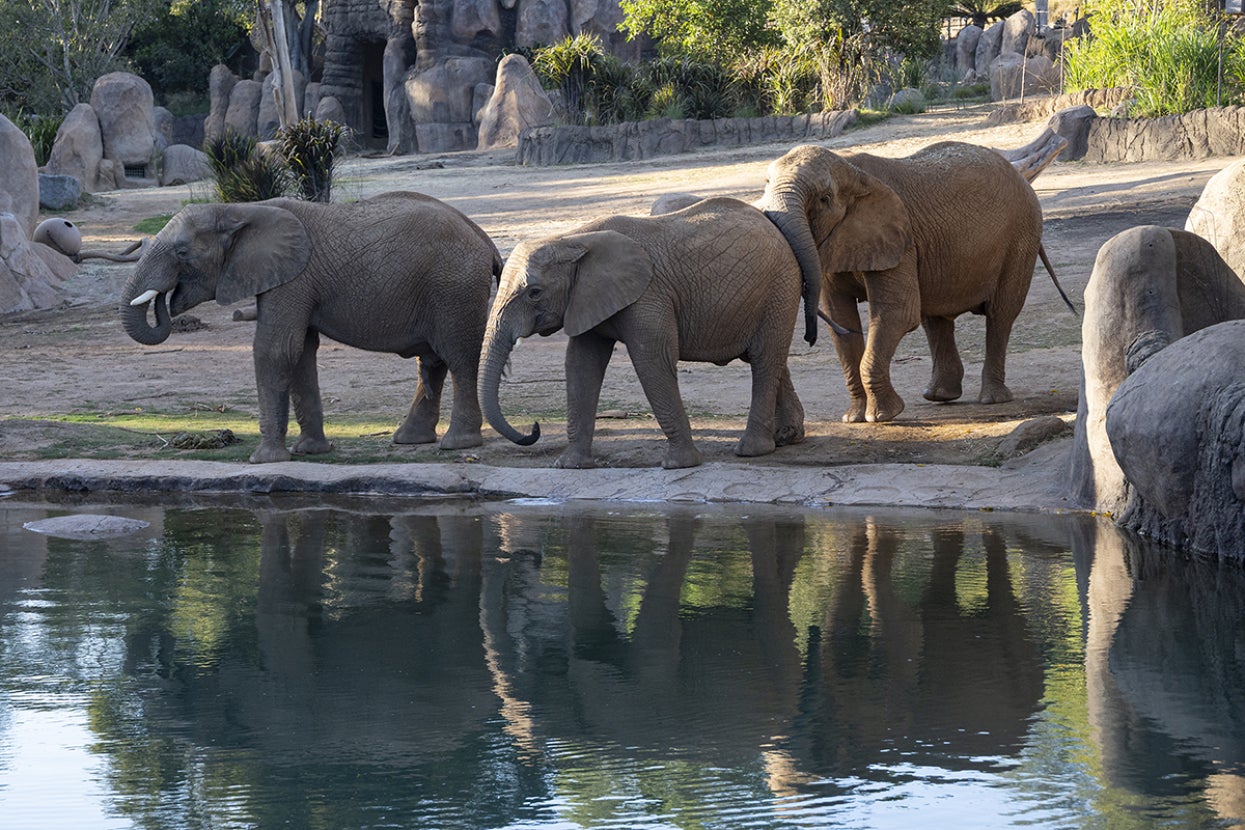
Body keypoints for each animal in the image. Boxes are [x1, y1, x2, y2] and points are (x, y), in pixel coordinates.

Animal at [120, 191, 502, 464]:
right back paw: (410, 440)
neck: (239, 210)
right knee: (434, 360)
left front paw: (265, 460)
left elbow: (275, 349)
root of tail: (485, 241)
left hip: (454, 286)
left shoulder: (293, 279)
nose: (165, 299)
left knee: (459, 356)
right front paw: (308, 451)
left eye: (182, 252)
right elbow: (301, 352)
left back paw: (457, 445)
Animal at [480, 196, 805, 470]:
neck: (574, 239)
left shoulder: (648, 295)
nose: (534, 429)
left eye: (534, 293)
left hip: (780, 285)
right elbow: (581, 364)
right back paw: (787, 438)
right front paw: (570, 466)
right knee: (767, 358)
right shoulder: (585, 298)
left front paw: (678, 465)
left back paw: (752, 451)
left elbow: (652, 361)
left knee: (764, 359)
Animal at [756, 141, 1046, 423]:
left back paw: (992, 399)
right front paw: (853, 418)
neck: (852, 170)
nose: (809, 337)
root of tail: (1020, 176)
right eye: (766, 185)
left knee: (1000, 314)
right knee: (936, 317)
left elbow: (897, 314)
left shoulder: (901, 241)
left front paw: (882, 416)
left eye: (824, 199)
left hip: (1022, 235)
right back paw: (939, 395)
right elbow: (839, 317)